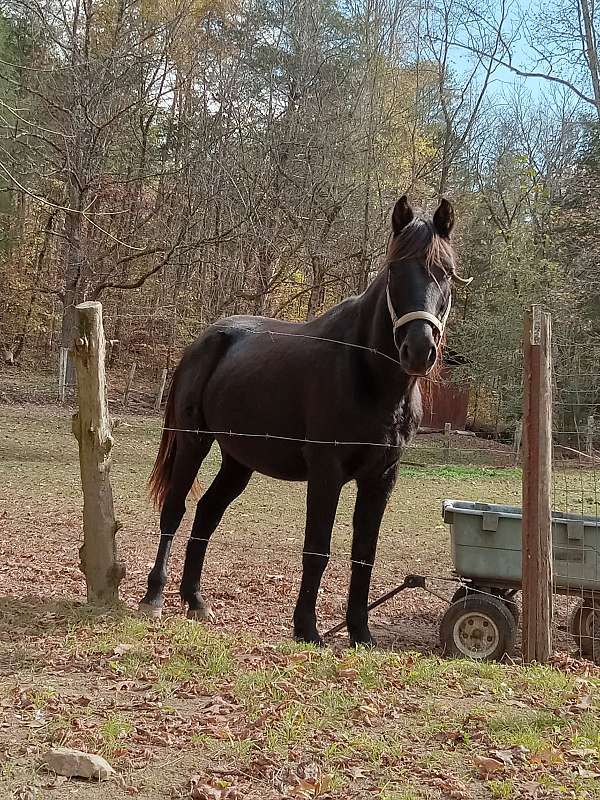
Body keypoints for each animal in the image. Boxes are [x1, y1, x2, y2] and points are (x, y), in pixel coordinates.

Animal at [139, 197, 468, 648]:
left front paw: (360, 633)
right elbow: (317, 549)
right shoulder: (326, 472)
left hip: (238, 461)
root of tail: (205, 340)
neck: (370, 376)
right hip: (193, 442)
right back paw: (154, 597)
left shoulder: (382, 476)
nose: (418, 349)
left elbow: (364, 553)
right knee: (175, 509)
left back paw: (195, 601)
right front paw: (307, 628)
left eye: (446, 272)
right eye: (395, 270)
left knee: (207, 513)